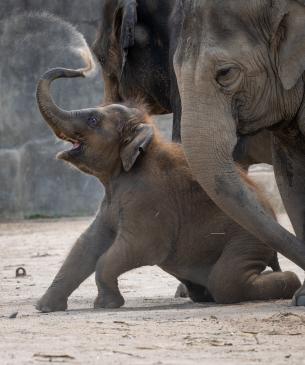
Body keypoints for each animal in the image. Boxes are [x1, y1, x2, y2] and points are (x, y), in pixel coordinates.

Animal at [35, 66, 300, 310]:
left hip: (247, 241)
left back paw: (292, 283)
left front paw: (105, 304)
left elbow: (135, 249)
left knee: (226, 282)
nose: (78, 71)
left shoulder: (149, 202)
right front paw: (44, 307)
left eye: (93, 120)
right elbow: (86, 244)